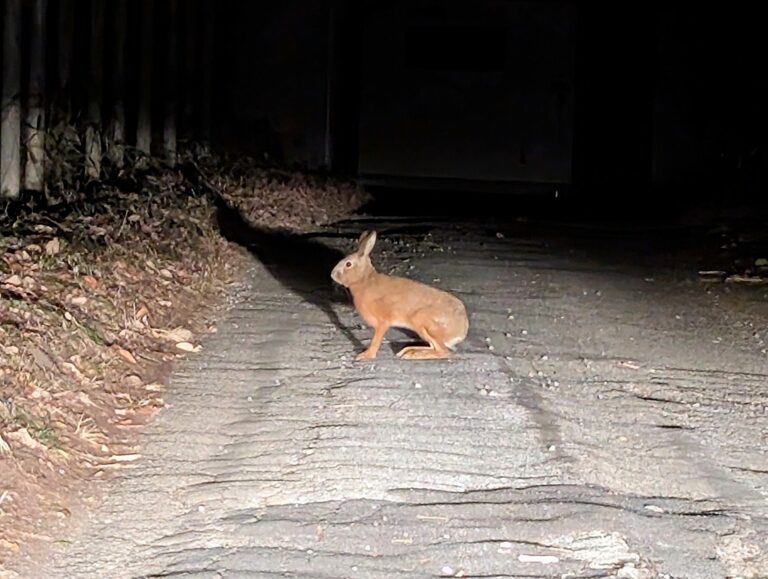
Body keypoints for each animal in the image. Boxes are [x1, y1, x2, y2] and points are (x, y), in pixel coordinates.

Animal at [331, 230, 469, 361]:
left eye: (348, 264)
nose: (332, 275)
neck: (365, 280)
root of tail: (462, 330)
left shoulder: (383, 322)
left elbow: (376, 339)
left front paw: (366, 356)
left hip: (423, 321)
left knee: (443, 351)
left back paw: (414, 355)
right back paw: (409, 351)